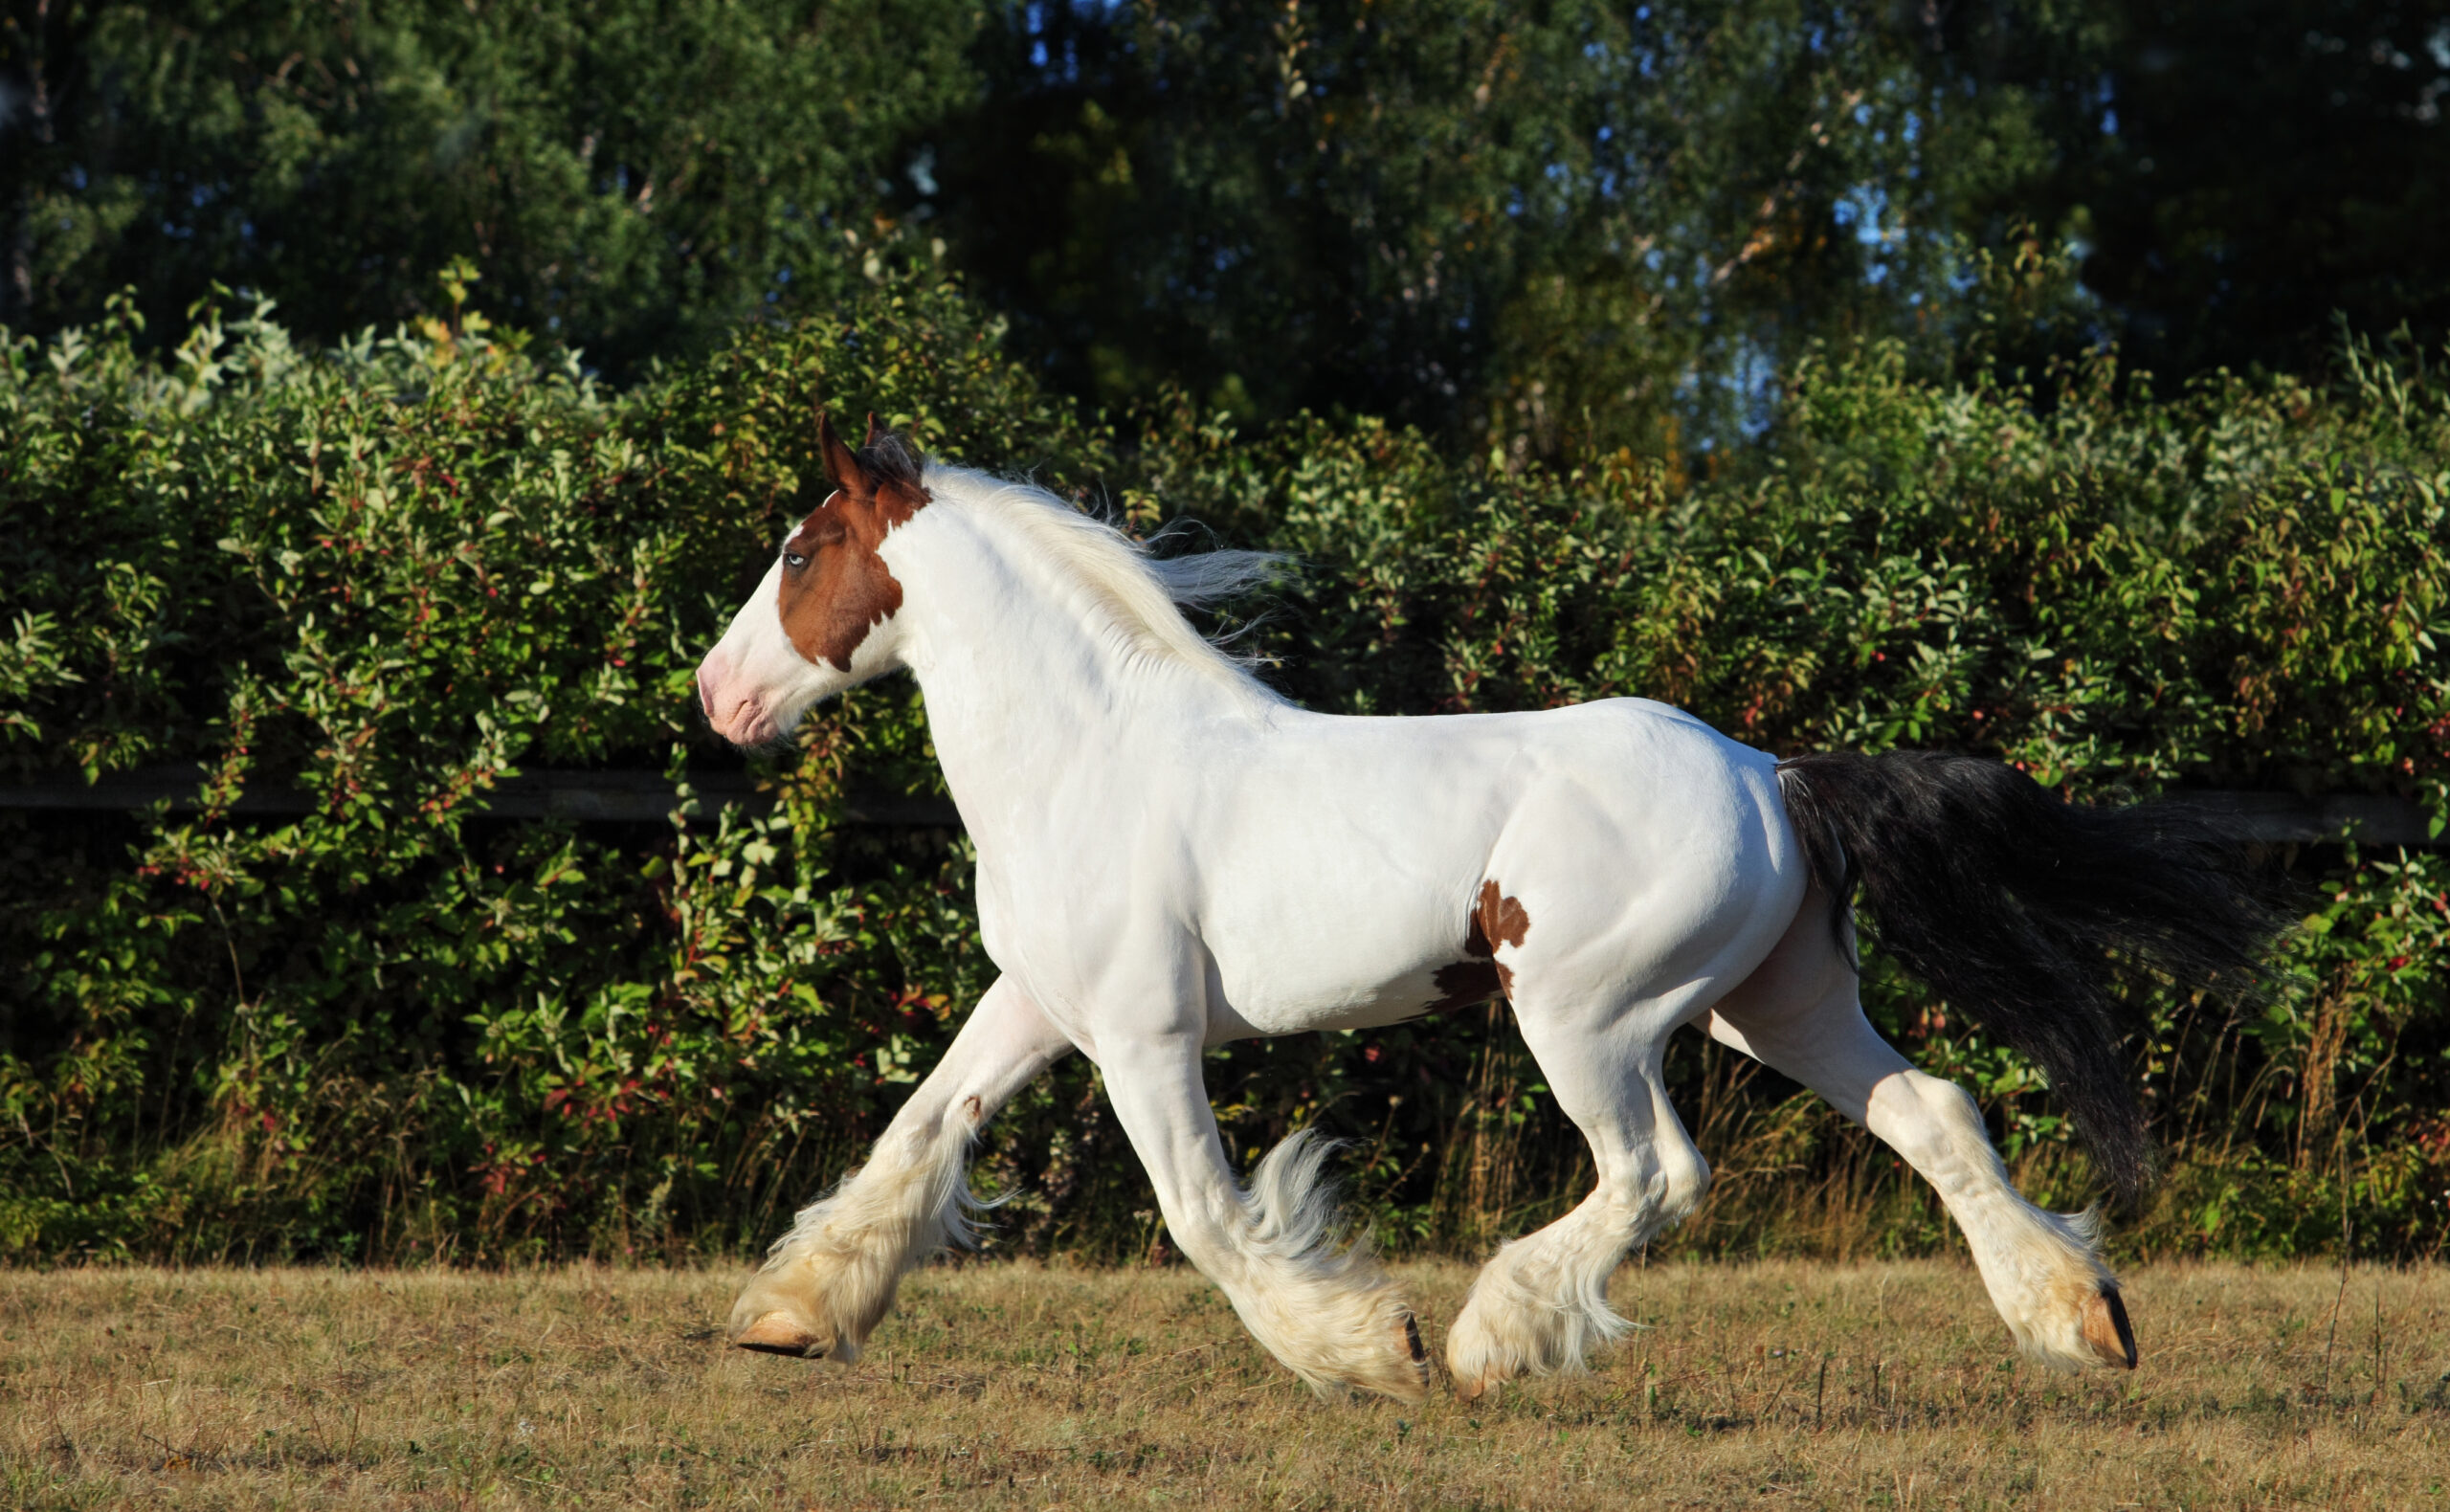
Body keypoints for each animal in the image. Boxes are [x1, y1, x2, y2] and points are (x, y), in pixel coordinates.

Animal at [690, 407, 2273, 1401]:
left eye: (797, 552)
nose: (716, 698)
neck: (1088, 759)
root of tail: (1772, 773)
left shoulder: (1143, 1037)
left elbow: (1206, 1217)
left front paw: (1369, 1353)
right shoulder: (1036, 1003)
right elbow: (914, 1138)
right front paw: (784, 1318)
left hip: (1587, 1017)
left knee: (1658, 1174)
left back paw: (1489, 1342)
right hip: (1776, 1008)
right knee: (1934, 1114)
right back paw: (2083, 1322)